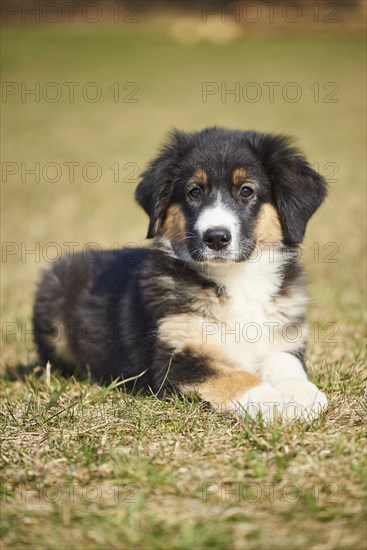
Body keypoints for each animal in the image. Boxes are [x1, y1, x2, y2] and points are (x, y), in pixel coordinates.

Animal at [33, 128, 330, 422]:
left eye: (246, 191)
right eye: (194, 191)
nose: (216, 237)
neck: (235, 279)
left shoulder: (282, 334)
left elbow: (285, 363)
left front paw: (303, 394)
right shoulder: (174, 358)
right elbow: (236, 377)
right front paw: (274, 402)